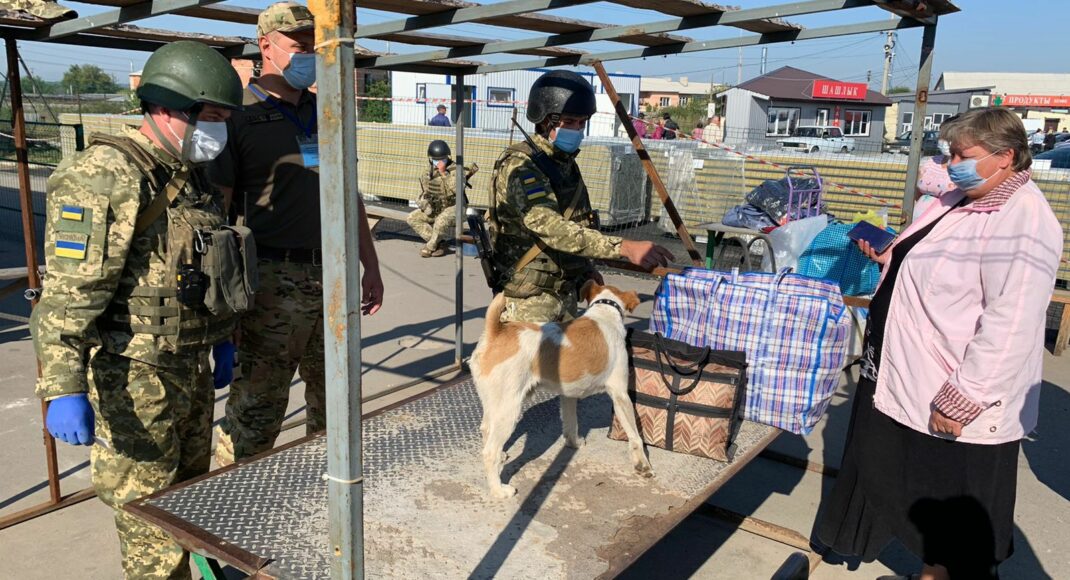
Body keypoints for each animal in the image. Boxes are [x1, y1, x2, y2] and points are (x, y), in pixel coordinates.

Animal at [475, 282, 650, 500]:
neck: (604, 312)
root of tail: (495, 333)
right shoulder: (620, 395)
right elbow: (635, 436)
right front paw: (643, 465)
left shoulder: (568, 396)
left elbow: (571, 422)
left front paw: (573, 443)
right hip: (508, 411)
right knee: (489, 452)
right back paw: (498, 490)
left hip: (493, 403)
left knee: (486, 430)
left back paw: (501, 457)